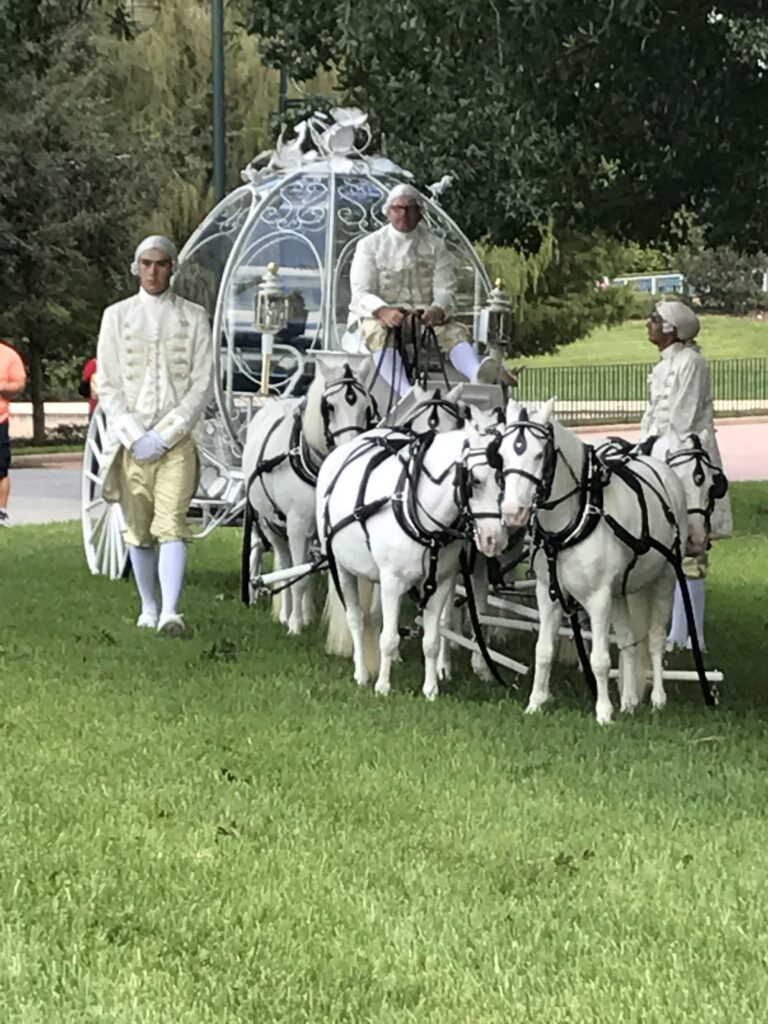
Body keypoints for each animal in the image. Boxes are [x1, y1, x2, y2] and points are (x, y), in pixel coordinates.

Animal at [243, 358, 378, 630]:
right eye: (330, 407)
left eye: (366, 407)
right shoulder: (296, 524)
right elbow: (299, 576)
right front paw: (294, 625)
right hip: (270, 524)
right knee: (285, 562)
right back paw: (287, 614)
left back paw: (305, 612)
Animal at [319, 419, 512, 700]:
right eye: (475, 480)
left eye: (505, 479)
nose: (494, 539)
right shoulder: (392, 582)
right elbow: (388, 639)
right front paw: (383, 686)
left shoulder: (438, 584)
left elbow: (431, 641)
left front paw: (430, 689)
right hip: (343, 569)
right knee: (355, 618)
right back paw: (362, 673)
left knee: (374, 616)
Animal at [495, 395, 688, 724]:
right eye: (503, 454)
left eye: (539, 455)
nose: (512, 512)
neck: (578, 516)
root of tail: (664, 471)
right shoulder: (548, 594)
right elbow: (543, 650)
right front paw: (535, 703)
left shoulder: (598, 598)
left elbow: (599, 659)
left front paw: (603, 712)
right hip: (621, 592)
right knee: (627, 640)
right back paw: (629, 700)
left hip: (664, 580)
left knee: (654, 637)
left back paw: (657, 698)